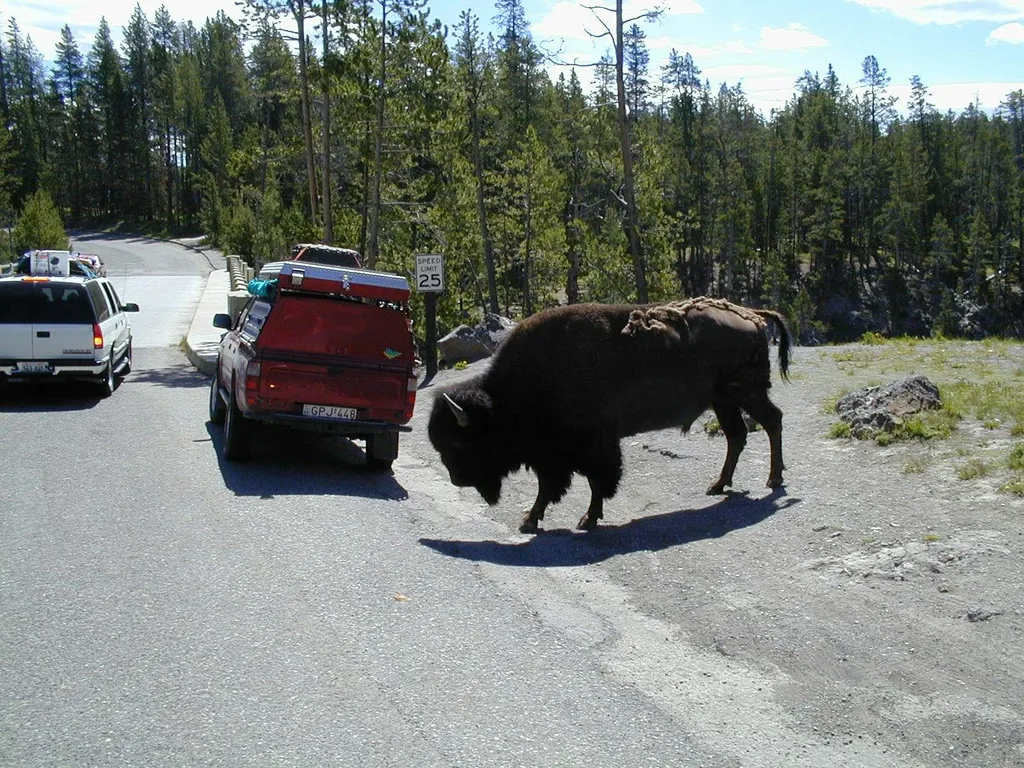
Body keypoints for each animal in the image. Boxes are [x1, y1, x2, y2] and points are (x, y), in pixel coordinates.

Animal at [423, 299, 790, 536]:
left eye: (458, 444)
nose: (457, 480)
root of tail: (751, 315)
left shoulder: (593, 447)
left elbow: (594, 482)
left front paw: (585, 519)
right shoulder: (554, 456)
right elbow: (554, 487)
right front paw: (531, 520)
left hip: (746, 393)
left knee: (772, 421)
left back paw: (773, 480)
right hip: (722, 401)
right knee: (737, 435)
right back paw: (718, 485)